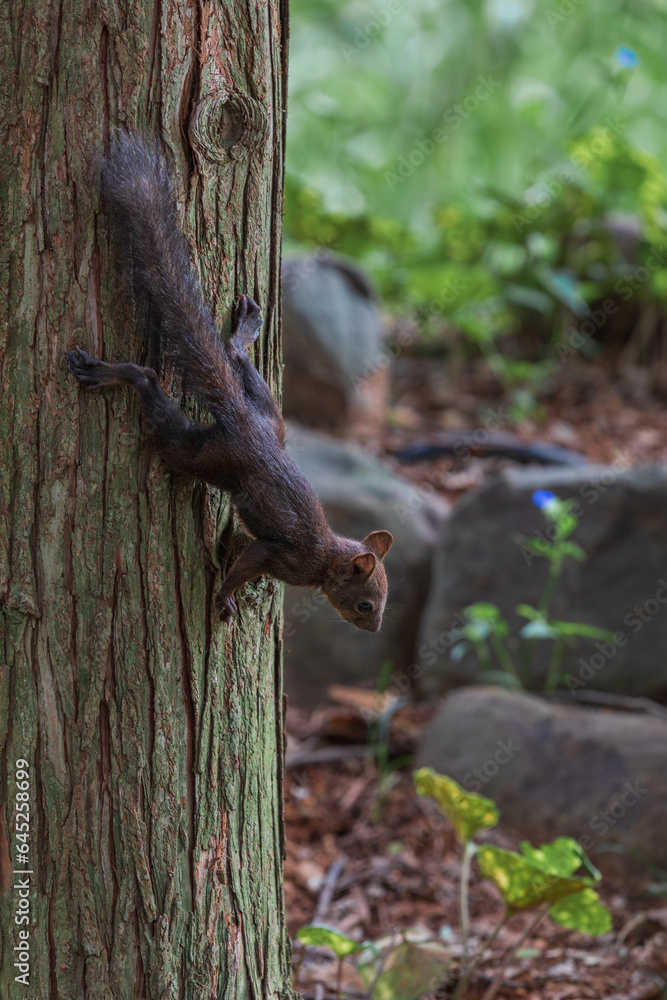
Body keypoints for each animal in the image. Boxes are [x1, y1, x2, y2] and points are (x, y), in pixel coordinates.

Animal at [66, 134, 393, 631]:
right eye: (366, 604)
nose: (373, 630)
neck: (325, 558)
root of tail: (244, 421)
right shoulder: (281, 557)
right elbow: (247, 564)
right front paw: (224, 595)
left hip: (271, 416)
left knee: (235, 362)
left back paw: (243, 331)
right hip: (204, 455)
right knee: (150, 385)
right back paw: (112, 373)